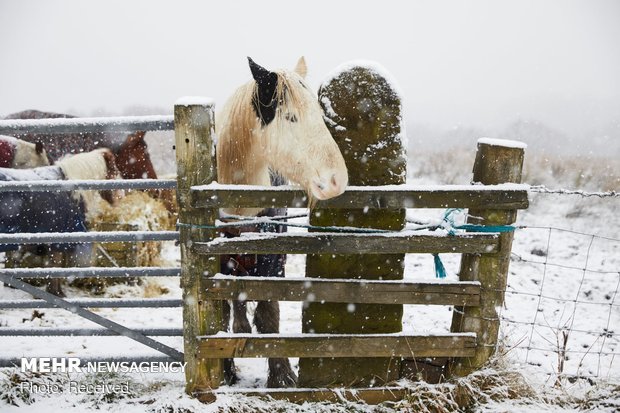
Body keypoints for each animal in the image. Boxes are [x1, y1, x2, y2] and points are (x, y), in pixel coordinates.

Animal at [216, 57, 346, 386]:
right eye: (290, 118)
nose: (337, 181)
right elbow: (220, 313)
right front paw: (225, 371)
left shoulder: (272, 261)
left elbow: (268, 315)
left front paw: (282, 375)